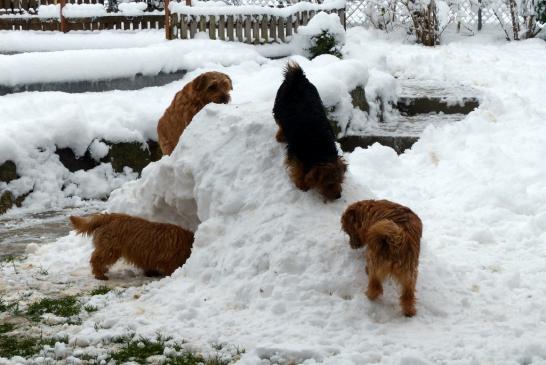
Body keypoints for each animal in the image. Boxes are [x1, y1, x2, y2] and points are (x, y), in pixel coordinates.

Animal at [270, 61, 344, 200]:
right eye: (329, 184)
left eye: (340, 180)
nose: (338, 196)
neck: (321, 148)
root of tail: (298, 77)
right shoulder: (295, 152)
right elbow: (298, 168)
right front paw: (302, 184)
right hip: (278, 107)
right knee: (280, 122)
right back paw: (280, 136)